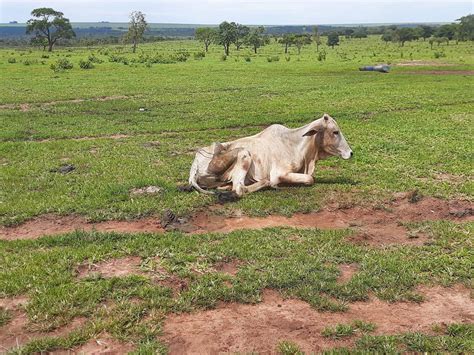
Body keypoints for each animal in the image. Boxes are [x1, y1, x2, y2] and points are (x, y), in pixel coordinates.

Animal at [187, 113, 354, 199]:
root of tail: (195, 164)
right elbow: (310, 179)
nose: (351, 153)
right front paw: (275, 184)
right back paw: (266, 184)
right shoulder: (279, 173)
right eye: (335, 132)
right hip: (244, 154)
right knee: (239, 189)